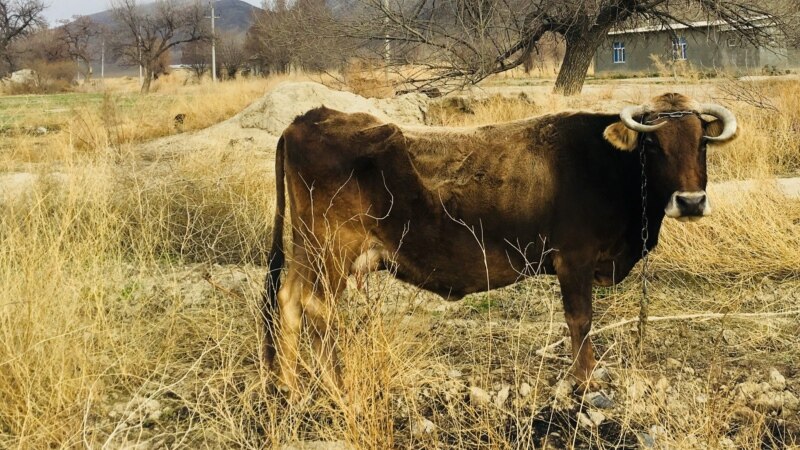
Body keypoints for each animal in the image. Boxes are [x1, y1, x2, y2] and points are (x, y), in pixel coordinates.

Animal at [262, 94, 736, 394]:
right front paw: (586, 380)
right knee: (317, 307)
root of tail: (309, 118)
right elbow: (580, 321)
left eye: (702, 141)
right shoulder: (573, 260)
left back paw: (289, 384)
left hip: (309, 248)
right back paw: (335, 384)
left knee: (289, 300)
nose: (691, 202)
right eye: (652, 143)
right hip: (331, 250)